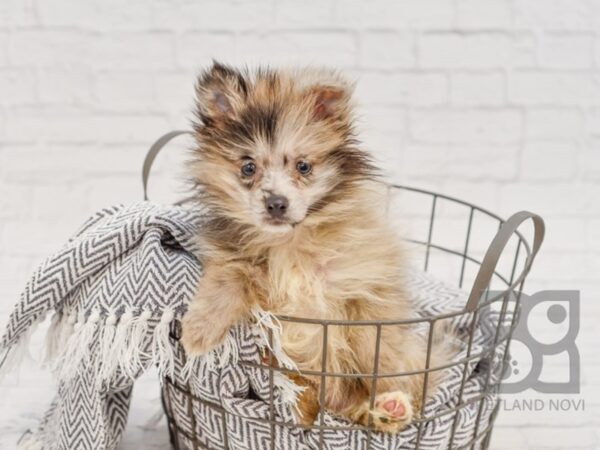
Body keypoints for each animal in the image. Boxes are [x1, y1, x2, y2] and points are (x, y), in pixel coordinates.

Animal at [180, 63, 452, 432]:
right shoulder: (234, 261)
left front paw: (388, 388)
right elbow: (227, 281)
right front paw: (198, 331)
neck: (290, 243)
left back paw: (391, 409)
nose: (276, 203)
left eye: (303, 166)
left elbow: (376, 349)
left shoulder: (365, 289)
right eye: (248, 167)